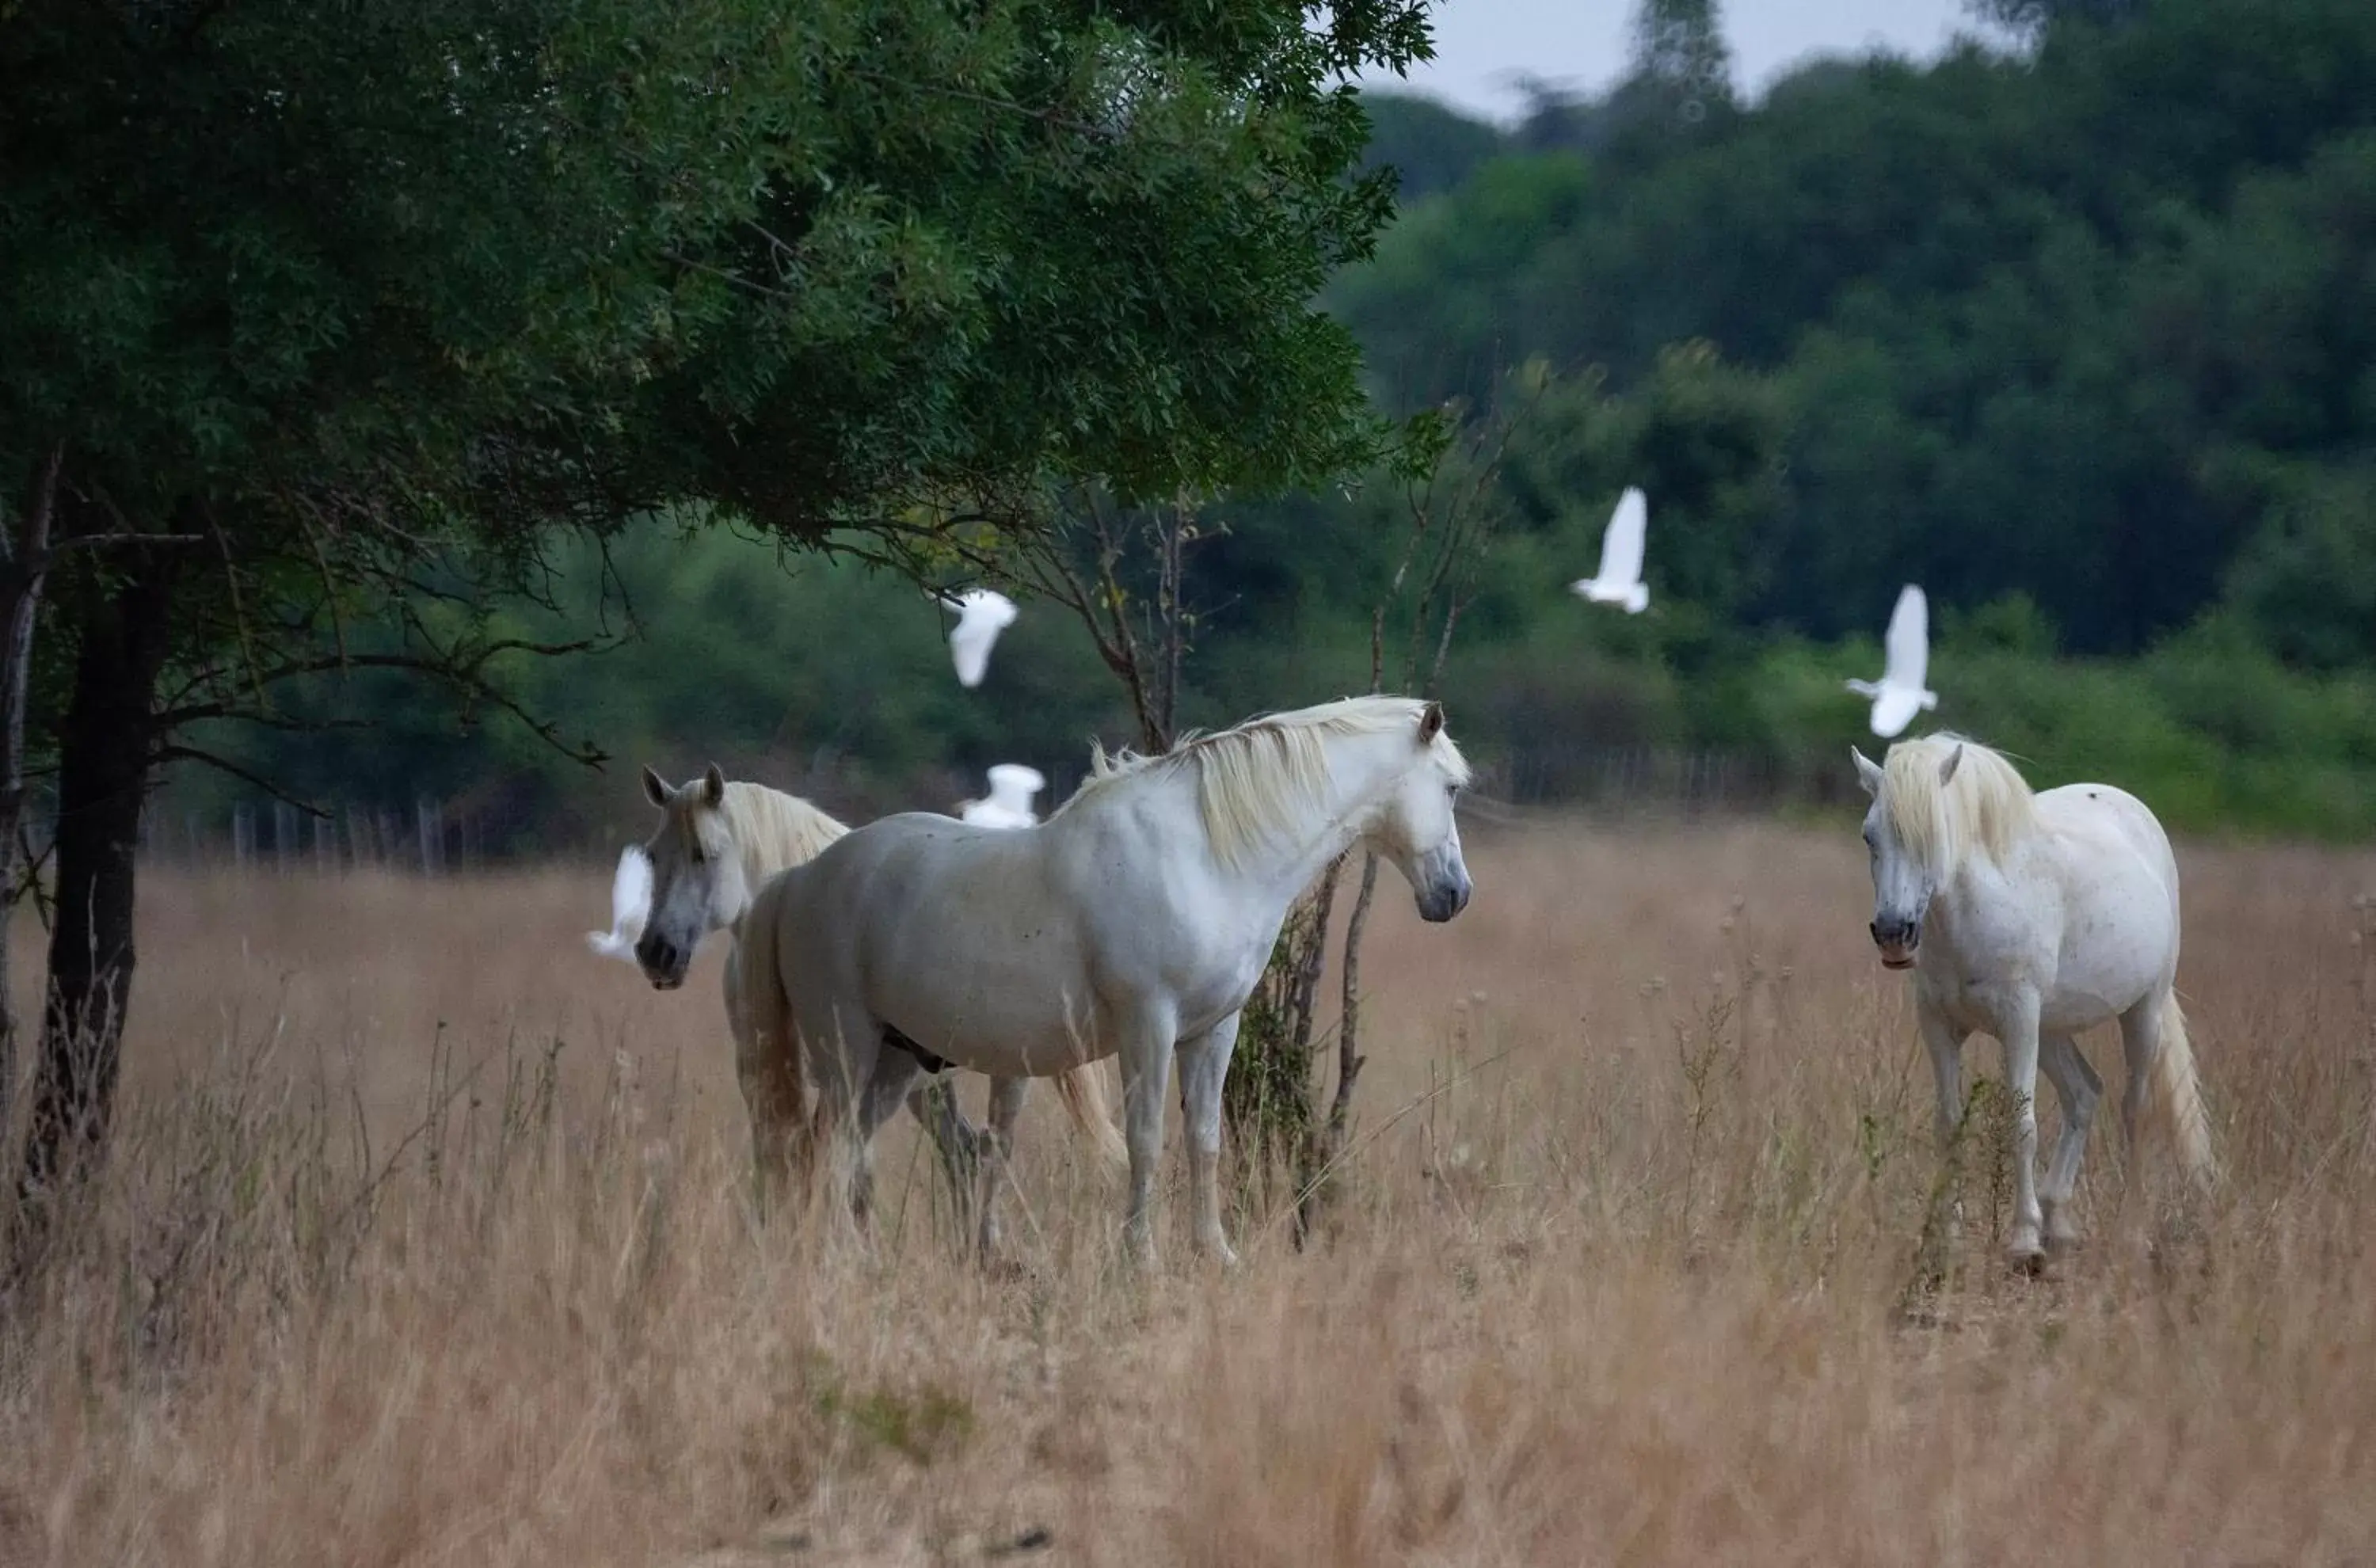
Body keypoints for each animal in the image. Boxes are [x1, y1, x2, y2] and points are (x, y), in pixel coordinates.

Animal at [732, 694, 1473, 1264]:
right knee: (829, 1151)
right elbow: (1144, 1142)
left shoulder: (1212, 1031)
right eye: (1451, 787)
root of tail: (799, 879)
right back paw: (838, 1260)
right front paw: (1139, 1257)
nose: (1455, 895)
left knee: (840, 1154)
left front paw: (1215, 1254)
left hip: (896, 1062)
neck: (1204, 856)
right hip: (847, 1051)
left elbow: (1204, 1140)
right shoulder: (1149, 1026)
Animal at [1853, 732, 2205, 1264]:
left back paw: (2130, 1229)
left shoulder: (2018, 1020)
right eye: (1870, 837)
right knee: (2085, 1094)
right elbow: (1949, 1124)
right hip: (2053, 1029)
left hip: (2141, 1012)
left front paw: (2023, 1241)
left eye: (1934, 835)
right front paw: (1947, 1235)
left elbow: (2022, 1123)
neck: (1972, 914)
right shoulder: (1939, 1026)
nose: (1894, 934)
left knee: (2135, 1109)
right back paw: (2058, 1219)